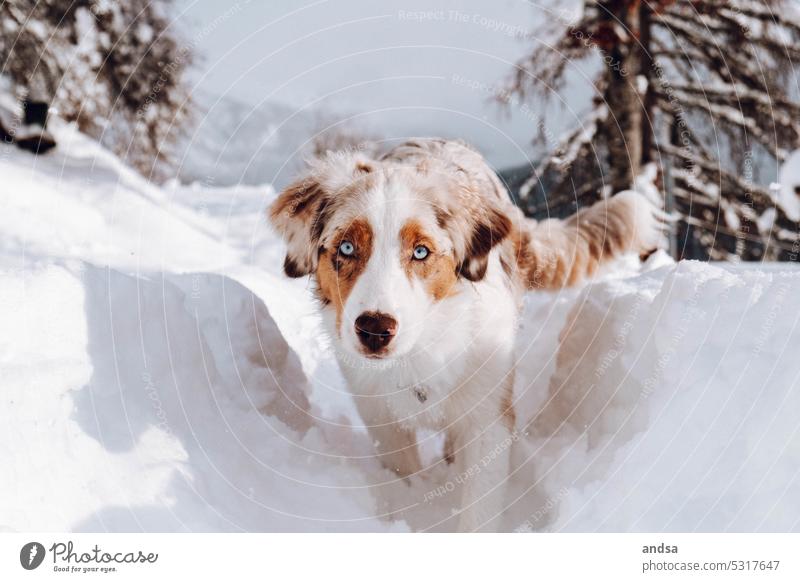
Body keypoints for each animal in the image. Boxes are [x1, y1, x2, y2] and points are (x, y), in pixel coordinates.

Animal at [268, 138, 664, 532]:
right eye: (347, 247)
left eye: (421, 251)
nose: (375, 329)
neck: (422, 352)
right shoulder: (380, 417)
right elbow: (405, 475)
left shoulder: (488, 418)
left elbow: (480, 509)